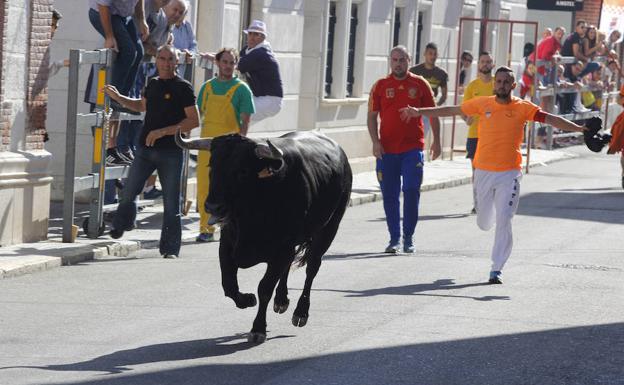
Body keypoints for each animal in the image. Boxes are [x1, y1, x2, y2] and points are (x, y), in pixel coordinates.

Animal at [177, 130, 352, 342]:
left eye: (242, 171)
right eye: (212, 166)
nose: (213, 206)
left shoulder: (281, 250)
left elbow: (264, 288)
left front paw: (258, 328)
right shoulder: (227, 245)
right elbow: (228, 284)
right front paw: (247, 299)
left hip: (328, 229)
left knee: (312, 268)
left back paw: (301, 312)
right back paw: (282, 300)